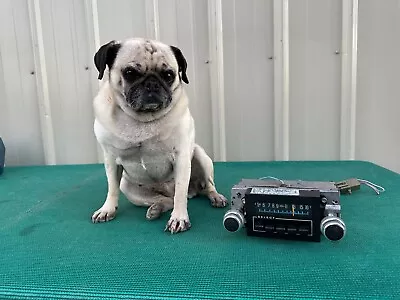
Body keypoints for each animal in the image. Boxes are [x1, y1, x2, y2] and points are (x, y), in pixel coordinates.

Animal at [91, 37, 228, 233]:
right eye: (130, 73)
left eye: (169, 75)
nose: (152, 83)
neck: (142, 120)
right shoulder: (110, 159)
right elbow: (112, 188)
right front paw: (107, 209)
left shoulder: (181, 157)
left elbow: (180, 192)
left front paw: (179, 218)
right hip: (129, 188)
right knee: (167, 199)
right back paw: (156, 208)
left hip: (201, 157)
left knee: (203, 187)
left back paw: (215, 197)